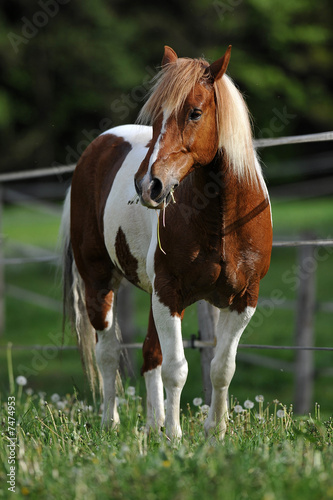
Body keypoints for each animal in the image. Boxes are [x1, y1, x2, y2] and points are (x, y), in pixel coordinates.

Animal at [61, 46, 272, 438]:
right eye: (157, 117)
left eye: (195, 112)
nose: (149, 185)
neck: (222, 219)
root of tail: (99, 145)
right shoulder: (169, 293)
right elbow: (177, 368)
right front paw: (175, 437)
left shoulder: (243, 299)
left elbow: (222, 368)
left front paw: (215, 432)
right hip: (100, 282)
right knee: (108, 354)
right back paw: (111, 423)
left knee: (149, 354)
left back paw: (152, 425)